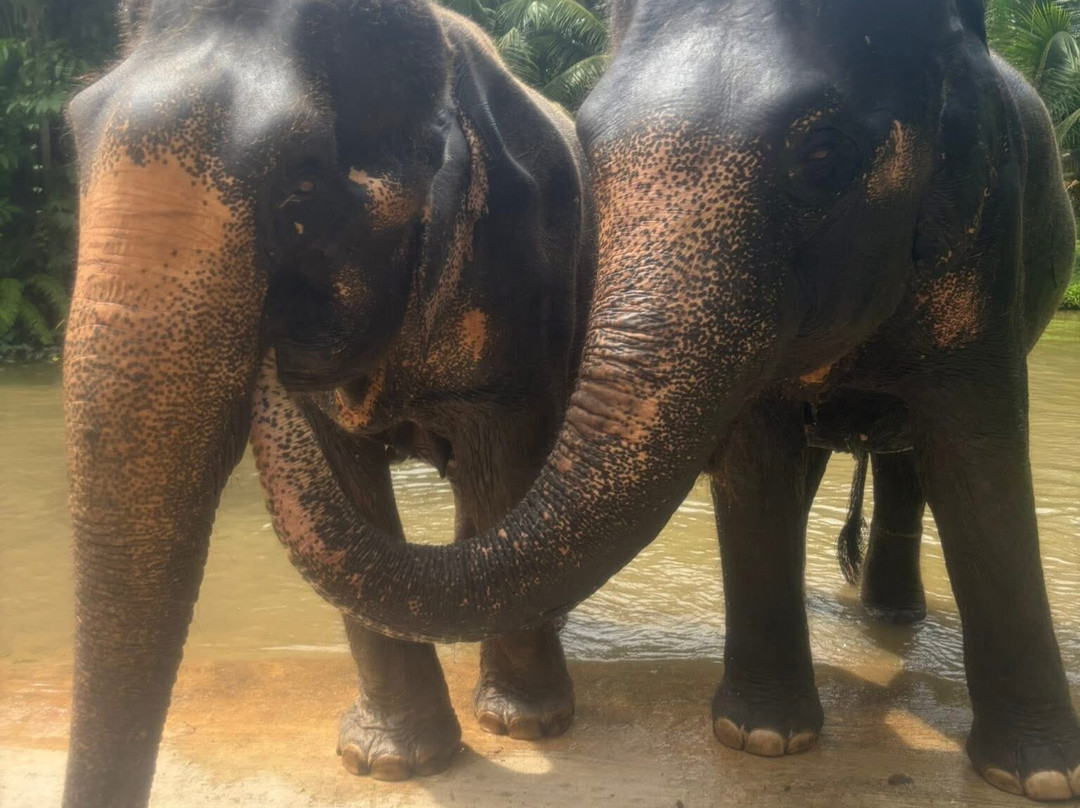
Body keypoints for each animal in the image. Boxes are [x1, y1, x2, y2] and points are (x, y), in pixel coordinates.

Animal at [62, 0, 592, 803]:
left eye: (304, 179)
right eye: (73, 132)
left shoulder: (518, 283)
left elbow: (500, 454)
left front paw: (526, 726)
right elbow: (342, 483)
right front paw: (388, 764)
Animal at [245, 0, 1077, 802]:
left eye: (821, 152)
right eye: (592, 151)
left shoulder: (986, 233)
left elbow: (980, 456)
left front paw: (1035, 778)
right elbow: (758, 463)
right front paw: (763, 739)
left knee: (908, 460)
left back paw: (893, 618)